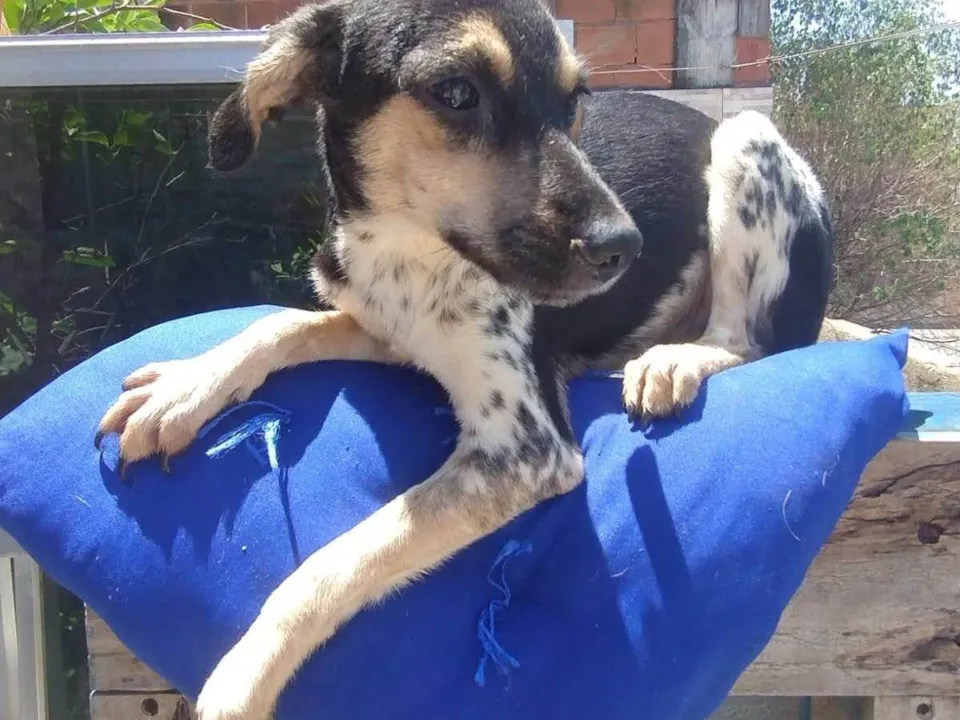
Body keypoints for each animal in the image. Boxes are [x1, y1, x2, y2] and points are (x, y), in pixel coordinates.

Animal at [96, 0, 834, 717]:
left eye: (574, 99)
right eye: (455, 92)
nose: (624, 247)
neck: (407, 253)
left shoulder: (525, 451)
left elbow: (335, 561)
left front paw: (244, 674)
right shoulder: (384, 329)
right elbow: (281, 325)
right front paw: (184, 391)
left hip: (744, 139)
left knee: (744, 339)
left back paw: (675, 359)